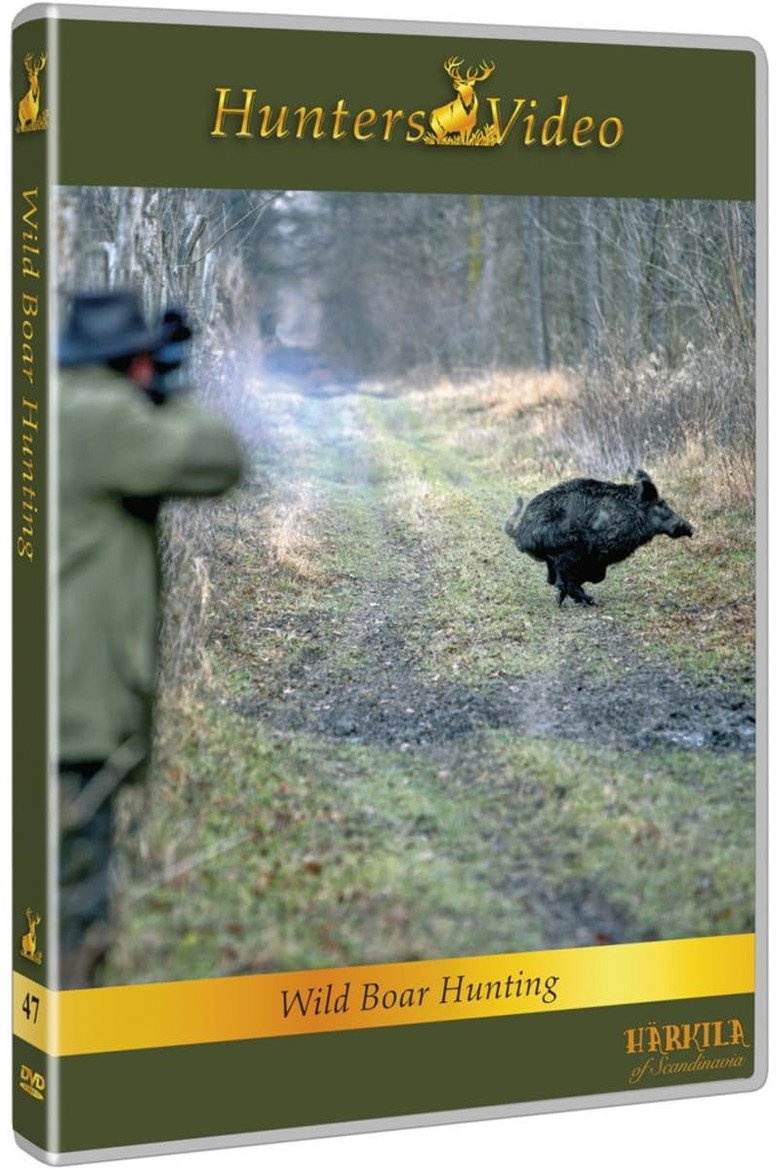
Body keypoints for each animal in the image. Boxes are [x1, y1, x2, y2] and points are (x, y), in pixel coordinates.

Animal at [504, 470, 693, 606]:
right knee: (561, 581)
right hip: (569, 551)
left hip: (556, 558)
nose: (691, 528)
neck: (633, 515)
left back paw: (564, 600)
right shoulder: (599, 552)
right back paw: (591, 601)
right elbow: (597, 576)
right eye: (662, 506)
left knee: (553, 580)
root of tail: (520, 532)